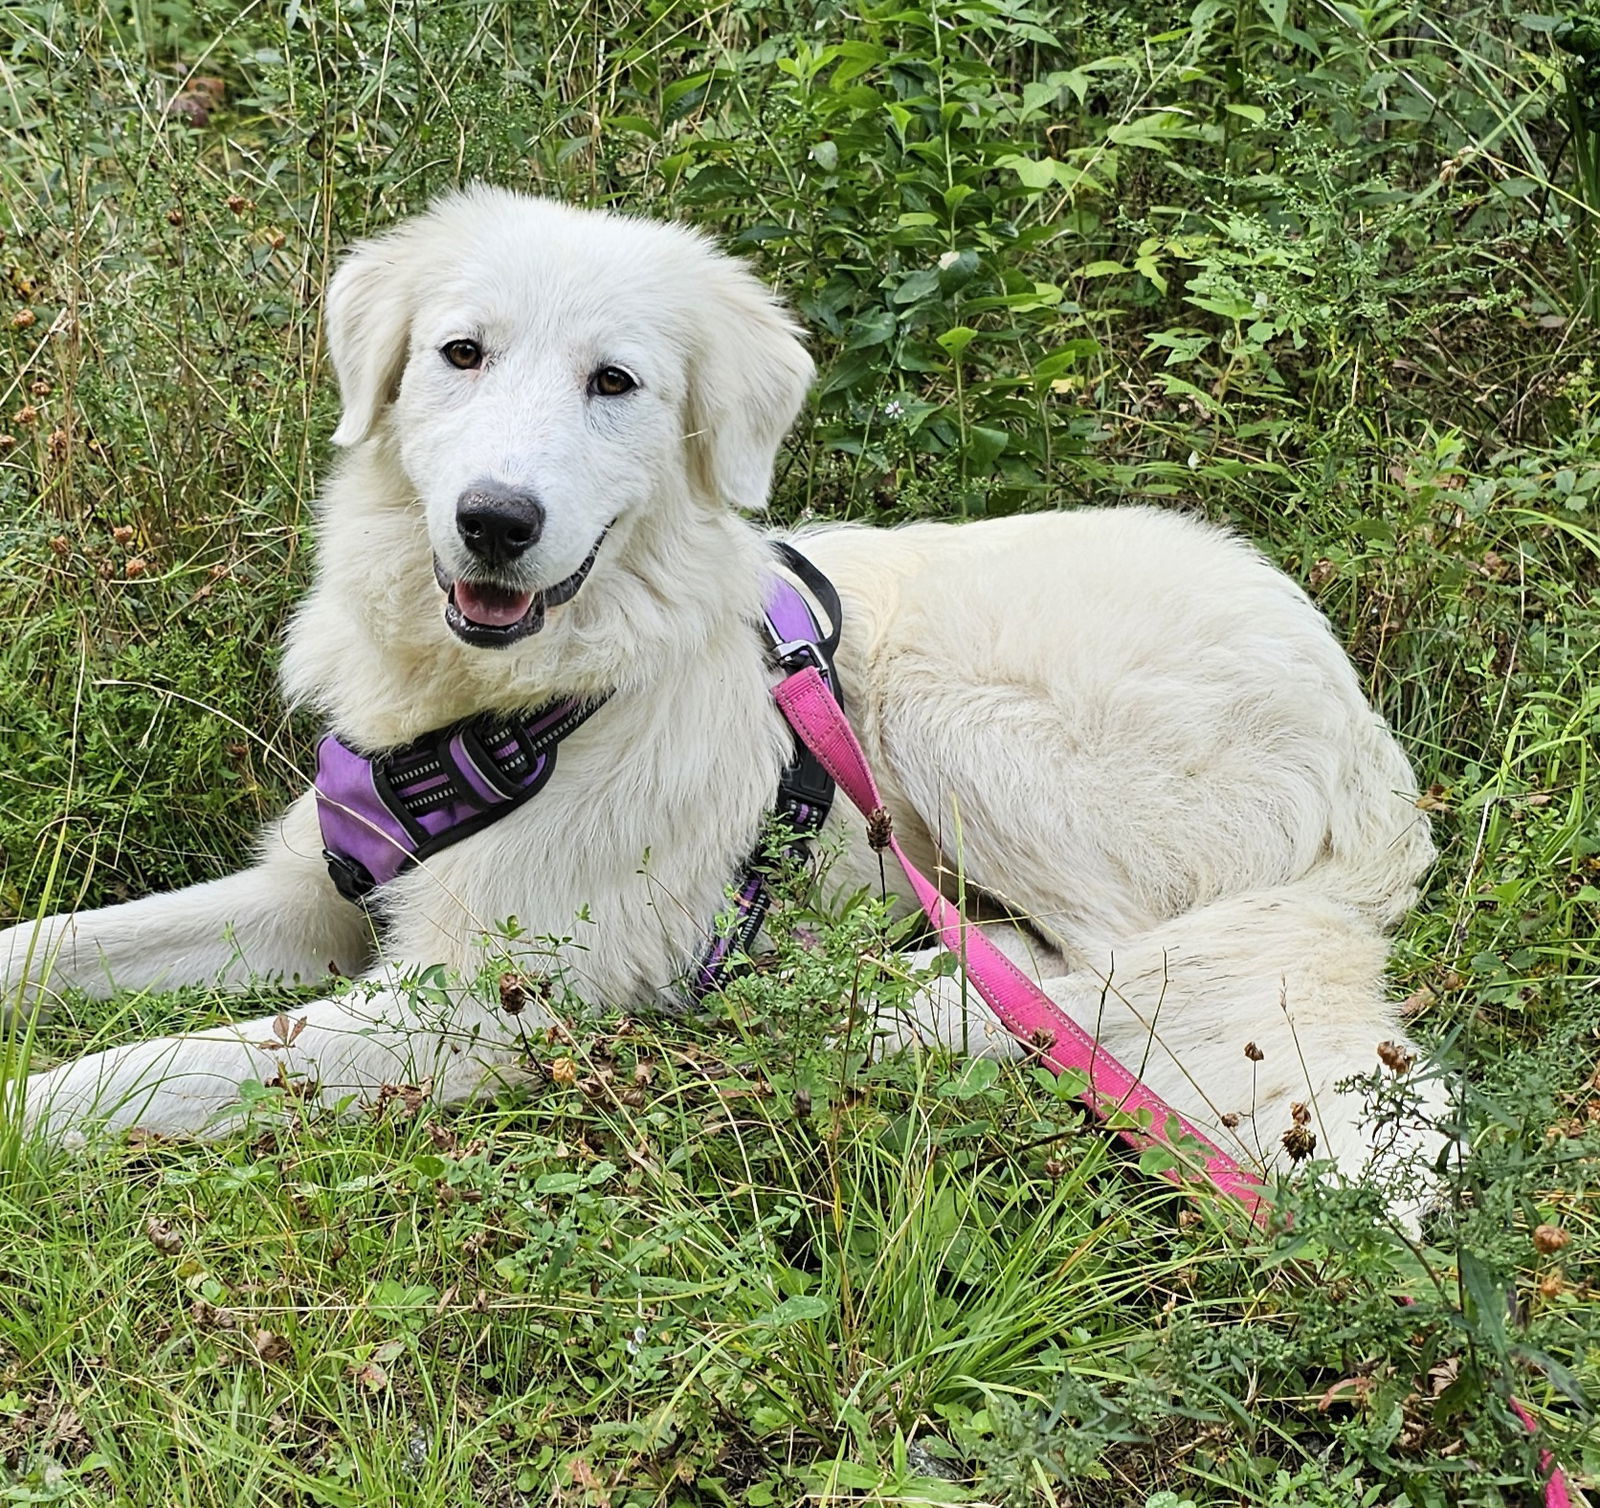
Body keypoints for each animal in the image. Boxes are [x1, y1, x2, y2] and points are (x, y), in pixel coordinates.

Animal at [3, 185, 1452, 1178]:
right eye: (461, 353)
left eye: (614, 382)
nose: (494, 521)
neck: (508, 709)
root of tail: (1380, 780)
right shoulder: (303, 898)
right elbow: (57, 943)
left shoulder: (474, 1008)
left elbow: (154, 1067)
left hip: (956, 714)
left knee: (1070, 976)